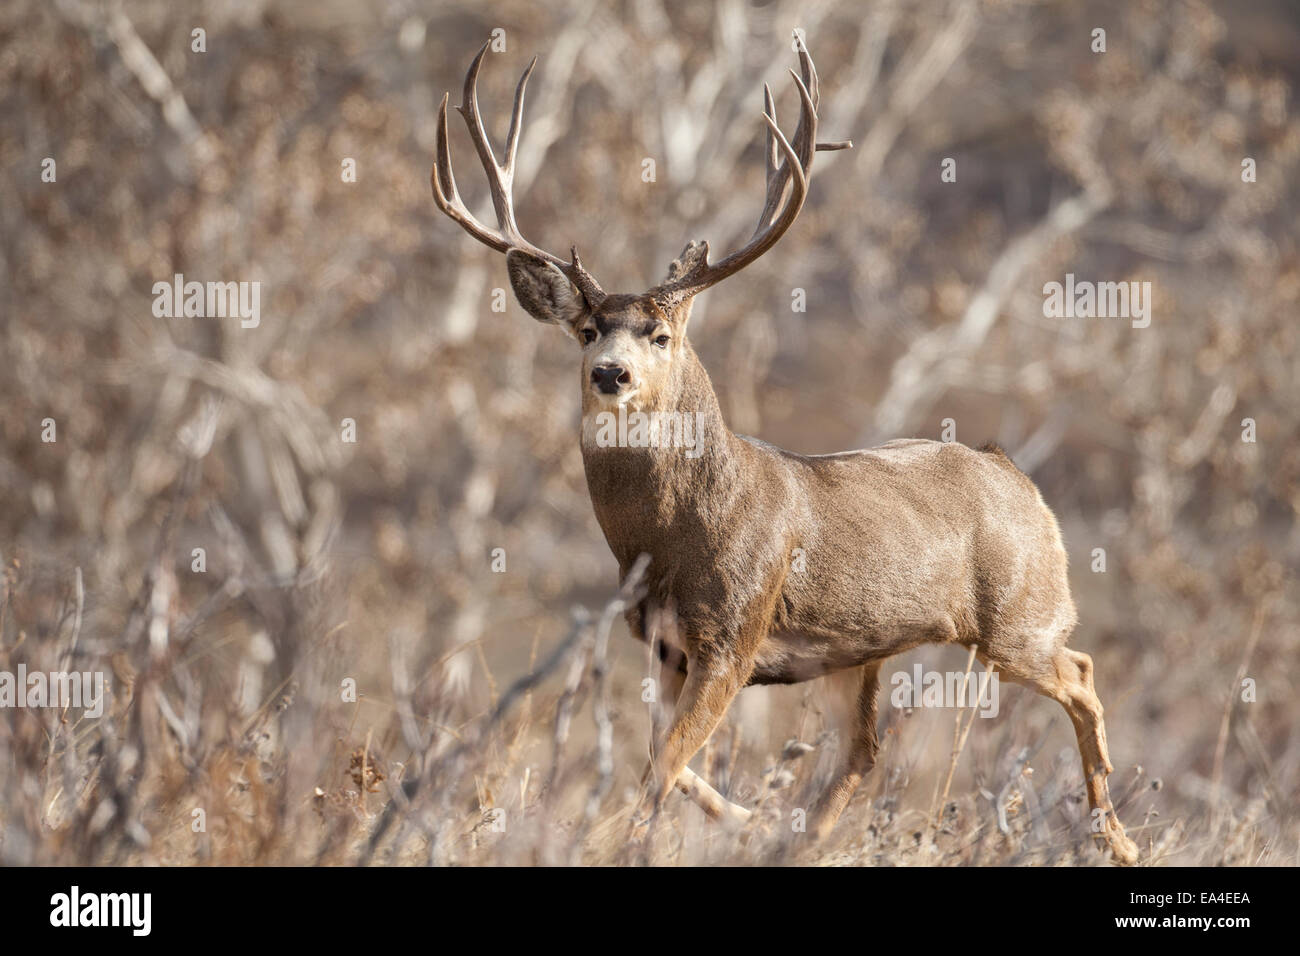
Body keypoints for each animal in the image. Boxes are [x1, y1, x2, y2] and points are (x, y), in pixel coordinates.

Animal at [429, 35, 1140, 865]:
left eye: (660, 334)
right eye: (586, 330)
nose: (610, 372)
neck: (669, 538)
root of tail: (1011, 469)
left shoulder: (735, 632)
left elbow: (662, 764)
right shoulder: (662, 643)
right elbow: (666, 758)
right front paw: (747, 819)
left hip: (1019, 612)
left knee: (1080, 672)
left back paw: (1116, 835)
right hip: (855, 651)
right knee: (862, 754)